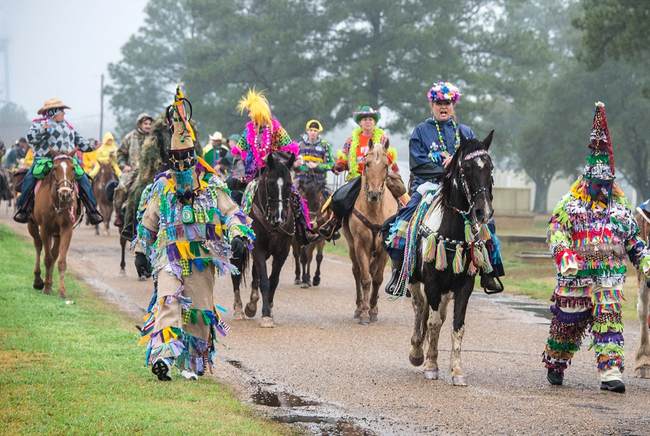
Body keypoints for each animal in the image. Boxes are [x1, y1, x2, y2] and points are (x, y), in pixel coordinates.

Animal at [27, 155, 79, 298]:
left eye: (73, 168)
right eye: (54, 168)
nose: (65, 193)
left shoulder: (66, 229)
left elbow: (60, 260)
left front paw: (62, 291)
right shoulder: (45, 229)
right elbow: (48, 258)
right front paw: (46, 288)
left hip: (56, 233)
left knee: (54, 253)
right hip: (32, 225)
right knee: (38, 246)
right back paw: (39, 281)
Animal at [239, 152, 294, 328]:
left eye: (289, 184)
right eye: (270, 183)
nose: (279, 216)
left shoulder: (282, 252)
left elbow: (273, 280)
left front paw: (268, 307)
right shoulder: (258, 249)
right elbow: (264, 281)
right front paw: (266, 315)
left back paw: (252, 303)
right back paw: (240, 309)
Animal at [342, 141, 398, 326]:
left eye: (386, 166)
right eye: (367, 164)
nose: (374, 194)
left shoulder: (384, 248)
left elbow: (377, 278)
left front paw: (373, 309)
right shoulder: (360, 245)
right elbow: (365, 279)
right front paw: (365, 312)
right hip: (352, 246)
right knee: (357, 272)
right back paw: (359, 307)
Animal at [408, 131, 494, 386]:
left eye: (490, 167)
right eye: (466, 168)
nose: (483, 211)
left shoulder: (464, 284)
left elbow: (457, 326)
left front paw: (456, 371)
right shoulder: (432, 282)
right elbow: (433, 322)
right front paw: (430, 365)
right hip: (415, 281)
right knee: (420, 308)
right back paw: (417, 351)